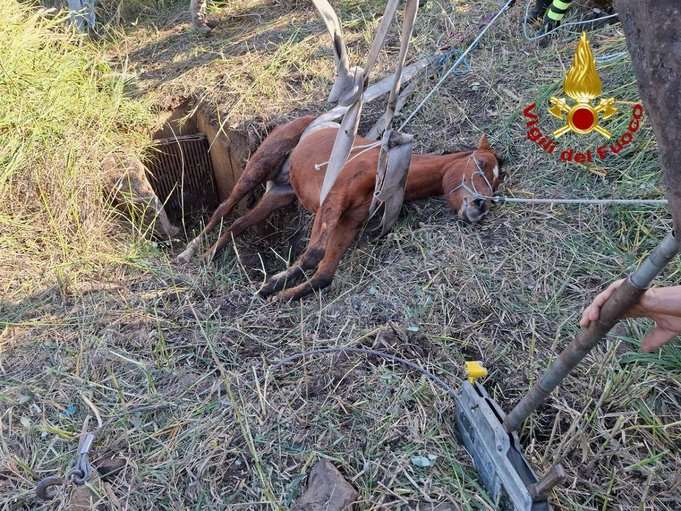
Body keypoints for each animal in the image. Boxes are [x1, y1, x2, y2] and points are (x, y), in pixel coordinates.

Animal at [176, 116, 505, 301]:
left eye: (497, 181)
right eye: (480, 163)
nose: (481, 206)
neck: (385, 165)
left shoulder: (350, 219)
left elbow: (325, 272)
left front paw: (282, 293)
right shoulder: (333, 199)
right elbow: (314, 254)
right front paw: (274, 283)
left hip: (279, 194)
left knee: (238, 224)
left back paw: (209, 256)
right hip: (256, 168)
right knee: (223, 210)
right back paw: (189, 254)